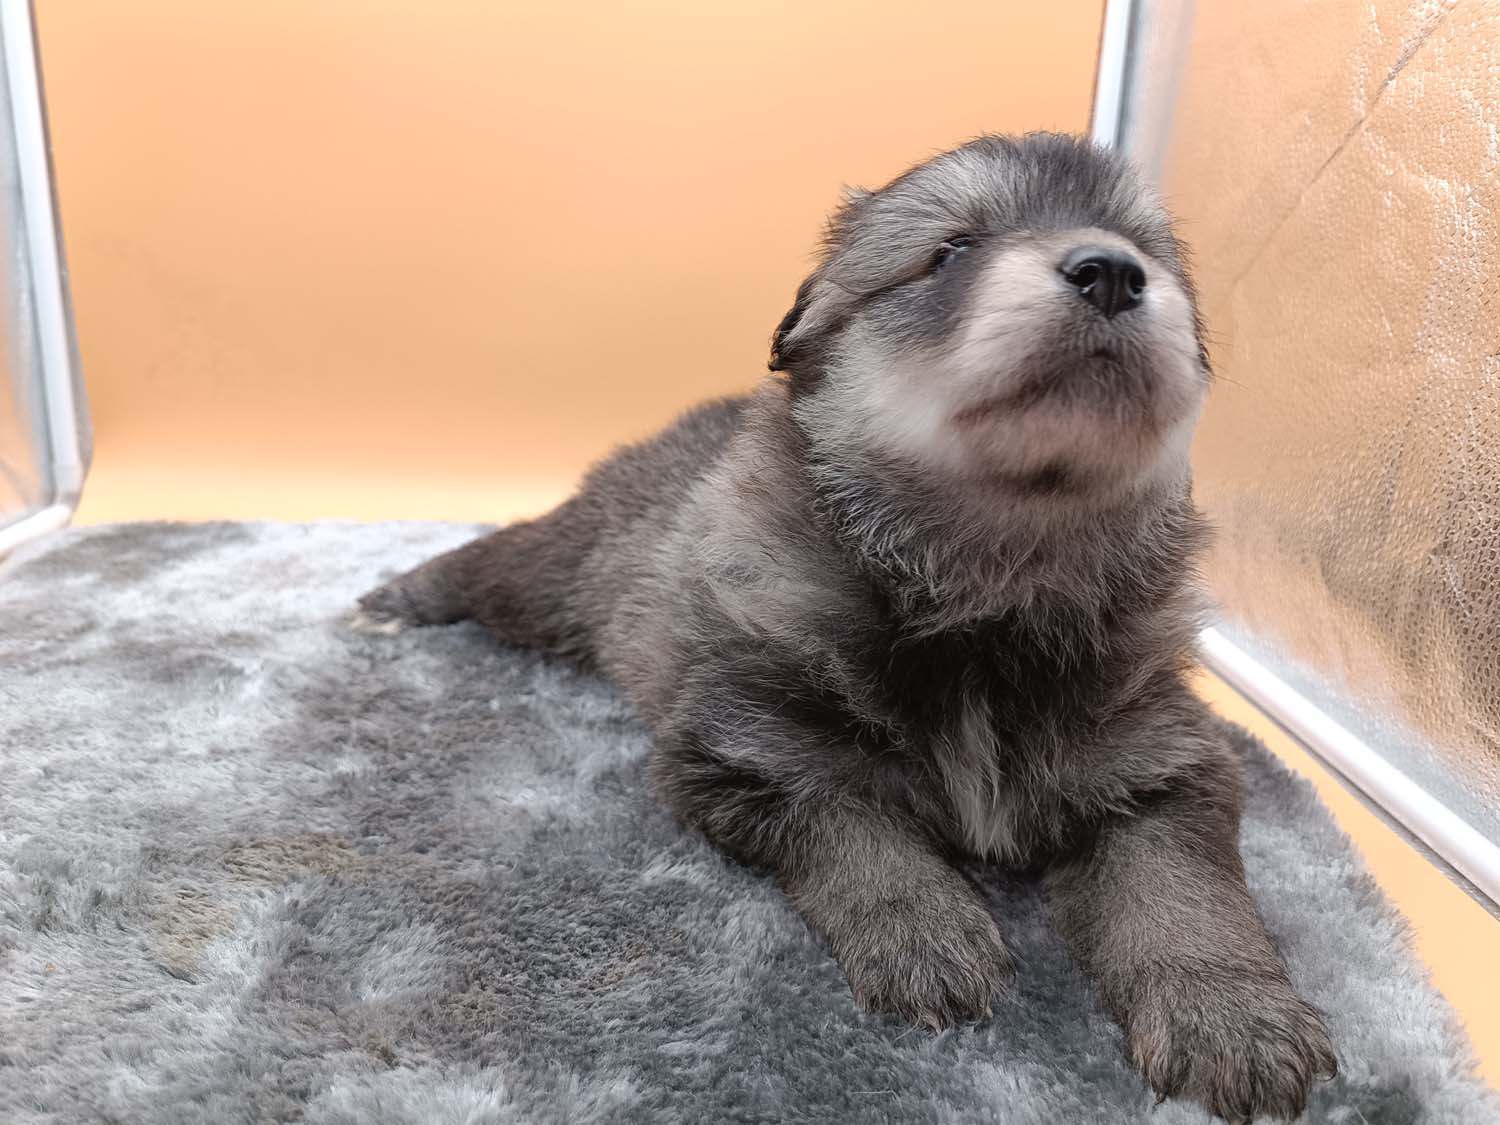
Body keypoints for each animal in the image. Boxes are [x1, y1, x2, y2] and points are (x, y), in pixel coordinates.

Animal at [355, 133, 1336, 1121]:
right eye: (951, 250)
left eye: (1146, 251)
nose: (1111, 273)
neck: (985, 597)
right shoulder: (744, 742)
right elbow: (852, 820)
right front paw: (927, 934)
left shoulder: (1159, 755)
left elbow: (1181, 889)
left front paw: (1231, 1016)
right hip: (562, 573)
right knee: (496, 562)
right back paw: (400, 598)